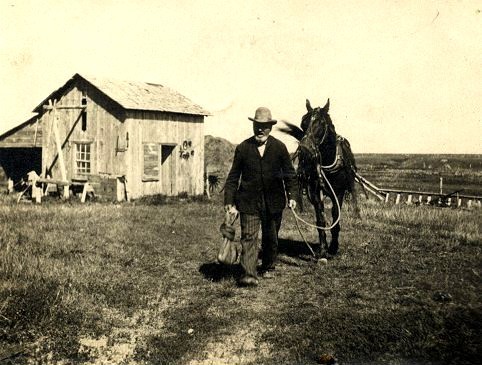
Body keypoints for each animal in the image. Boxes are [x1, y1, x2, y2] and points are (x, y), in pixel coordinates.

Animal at [278, 99, 358, 258]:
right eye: (303, 122)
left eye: (320, 123)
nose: (305, 148)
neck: (327, 161)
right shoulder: (315, 193)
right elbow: (320, 219)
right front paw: (323, 249)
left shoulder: (338, 193)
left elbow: (335, 216)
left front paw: (333, 247)